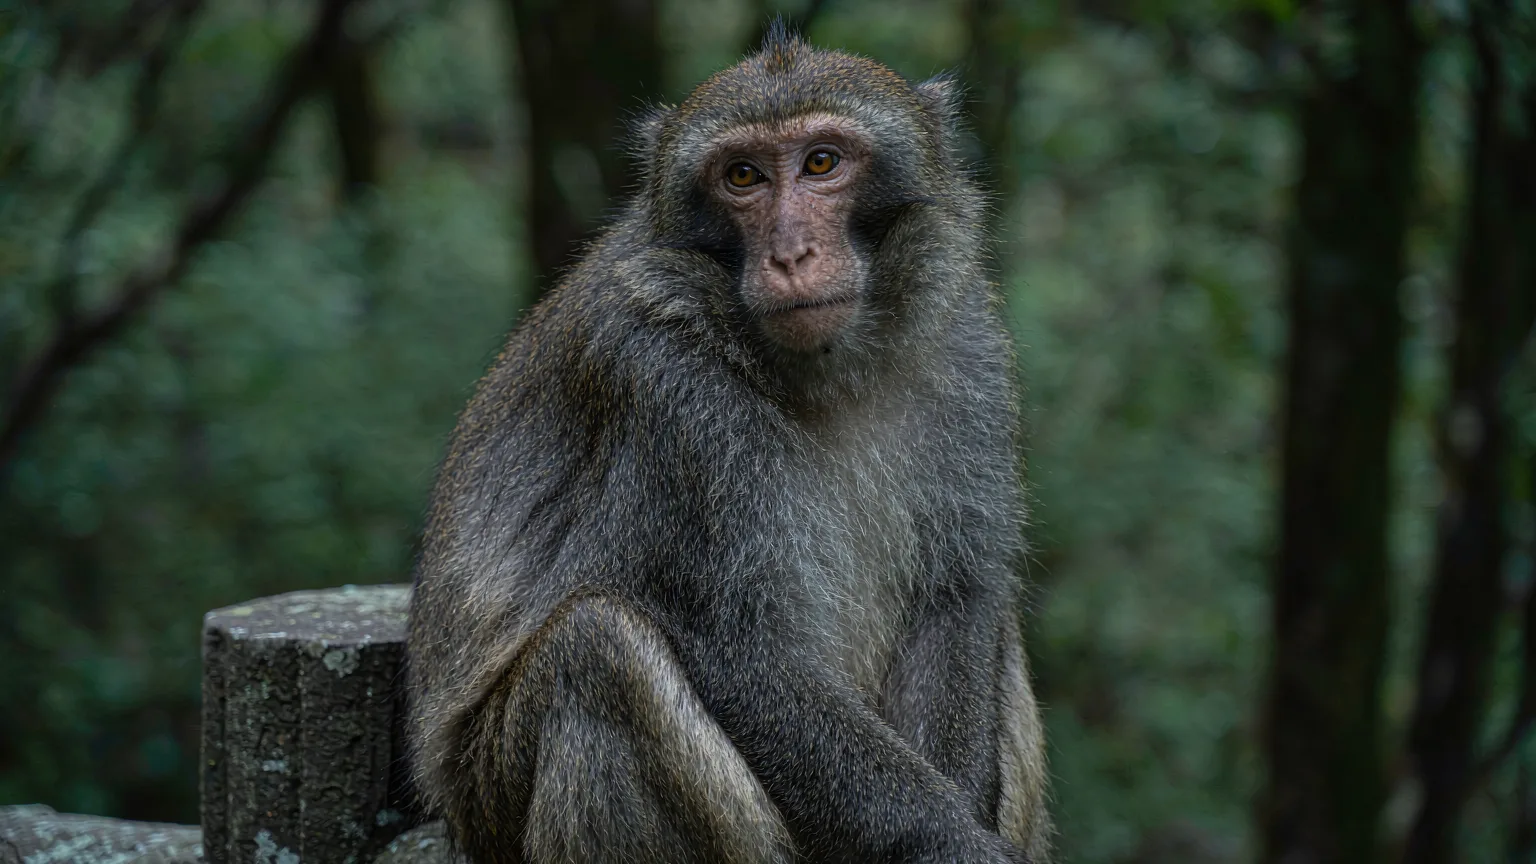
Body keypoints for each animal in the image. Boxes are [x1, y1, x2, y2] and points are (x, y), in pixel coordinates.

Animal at [405, 23, 1052, 864]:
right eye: (742, 176)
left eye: (821, 163)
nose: (790, 255)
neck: (827, 373)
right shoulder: (664, 387)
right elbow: (743, 655)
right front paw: (949, 844)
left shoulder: (966, 341)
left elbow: (956, 602)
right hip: (490, 798)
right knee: (596, 651)